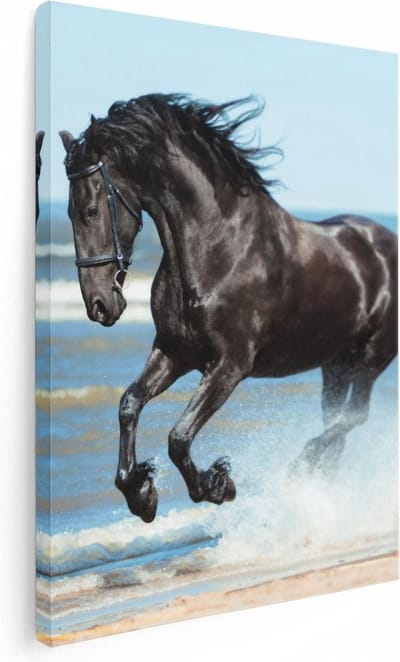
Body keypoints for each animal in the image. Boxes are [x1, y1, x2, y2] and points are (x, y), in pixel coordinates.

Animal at [59, 94, 397, 523]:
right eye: (69, 213)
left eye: (90, 211)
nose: (100, 305)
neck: (217, 248)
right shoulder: (174, 352)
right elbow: (129, 404)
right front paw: (141, 493)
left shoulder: (230, 366)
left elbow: (179, 436)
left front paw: (217, 484)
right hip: (335, 364)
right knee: (338, 424)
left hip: (371, 358)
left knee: (352, 418)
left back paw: (298, 471)